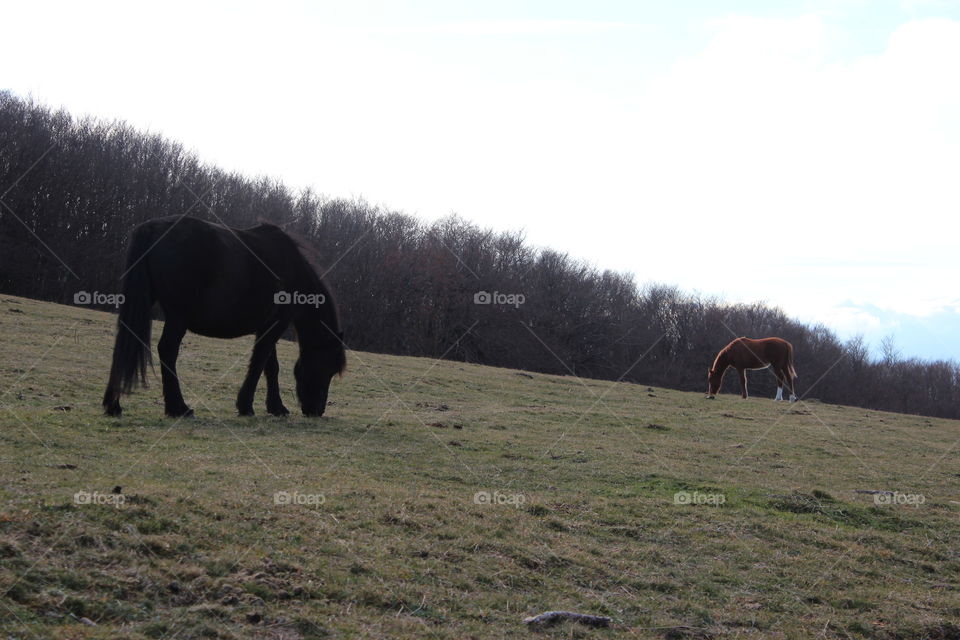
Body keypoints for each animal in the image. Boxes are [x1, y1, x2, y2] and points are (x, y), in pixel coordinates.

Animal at [104, 218, 344, 418]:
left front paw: (275, 407)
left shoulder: (266, 327)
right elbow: (259, 363)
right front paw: (247, 406)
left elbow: (270, 366)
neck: (293, 270)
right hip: (177, 317)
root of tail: (154, 227)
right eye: (327, 366)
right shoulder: (276, 325)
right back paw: (178, 408)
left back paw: (113, 405)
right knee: (167, 351)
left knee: (124, 345)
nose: (317, 410)